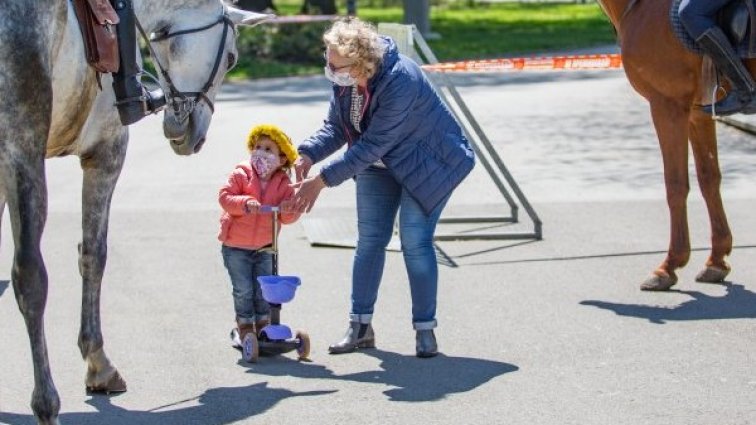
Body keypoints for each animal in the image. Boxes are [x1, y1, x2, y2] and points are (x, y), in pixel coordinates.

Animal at [0, 0, 268, 424]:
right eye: (230, 58)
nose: (194, 135)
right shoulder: (106, 151)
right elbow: (94, 256)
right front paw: (98, 362)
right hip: (24, 151)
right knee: (30, 277)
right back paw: (47, 403)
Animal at [596, 0, 732, 288]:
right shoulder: (697, 112)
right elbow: (709, 179)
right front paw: (716, 261)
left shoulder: (666, 106)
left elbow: (676, 185)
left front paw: (669, 266)